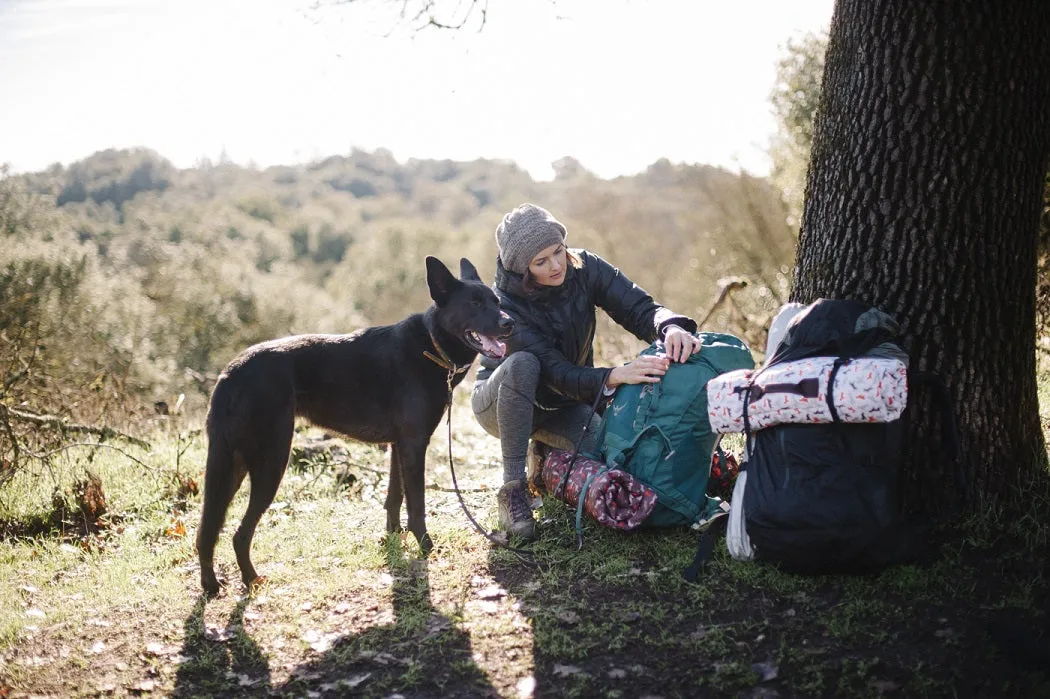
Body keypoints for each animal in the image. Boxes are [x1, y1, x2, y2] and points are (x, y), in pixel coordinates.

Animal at [197, 256, 512, 591]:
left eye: (496, 302)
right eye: (474, 303)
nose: (509, 323)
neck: (431, 345)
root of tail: (229, 374)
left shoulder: (398, 447)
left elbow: (394, 497)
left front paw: (393, 540)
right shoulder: (414, 446)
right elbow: (417, 504)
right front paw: (425, 546)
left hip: (231, 467)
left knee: (207, 531)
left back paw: (211, 585)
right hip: (270, 462)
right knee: (239, 533)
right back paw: (251, 579)